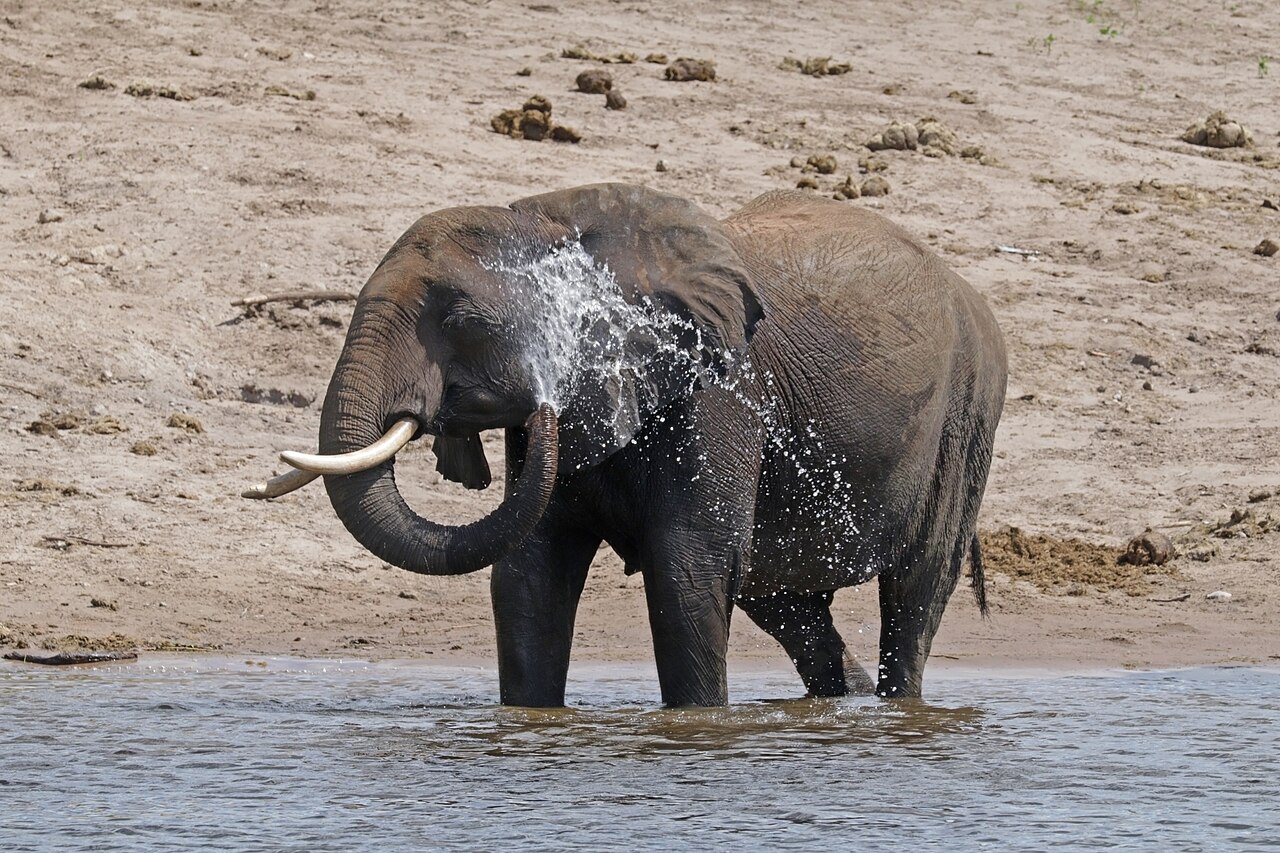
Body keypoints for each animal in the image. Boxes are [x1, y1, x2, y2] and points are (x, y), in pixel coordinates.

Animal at [248, 183, 1007, 707]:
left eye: (463, 321)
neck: (552, 217)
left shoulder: (718, 394)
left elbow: (687, 569)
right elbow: (529, 574)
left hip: (970, 413)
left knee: (914, 594)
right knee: (787, 608)